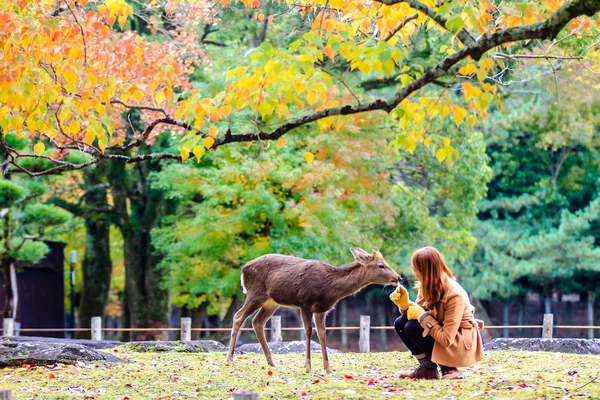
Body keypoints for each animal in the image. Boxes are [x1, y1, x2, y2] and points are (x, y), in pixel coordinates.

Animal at [225, 247, 398, 376]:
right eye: (381, 265)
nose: (398, 278)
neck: (329, 288)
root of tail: (243, 270)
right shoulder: (305, 302)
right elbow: (308, 331)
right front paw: (308, 366)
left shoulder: (322, 309)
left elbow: (322, 333)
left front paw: (328, 368)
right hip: (255, 294)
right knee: (238, 316)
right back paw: (230, 359)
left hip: (271, 302)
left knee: (257, 322)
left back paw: (271, 362)